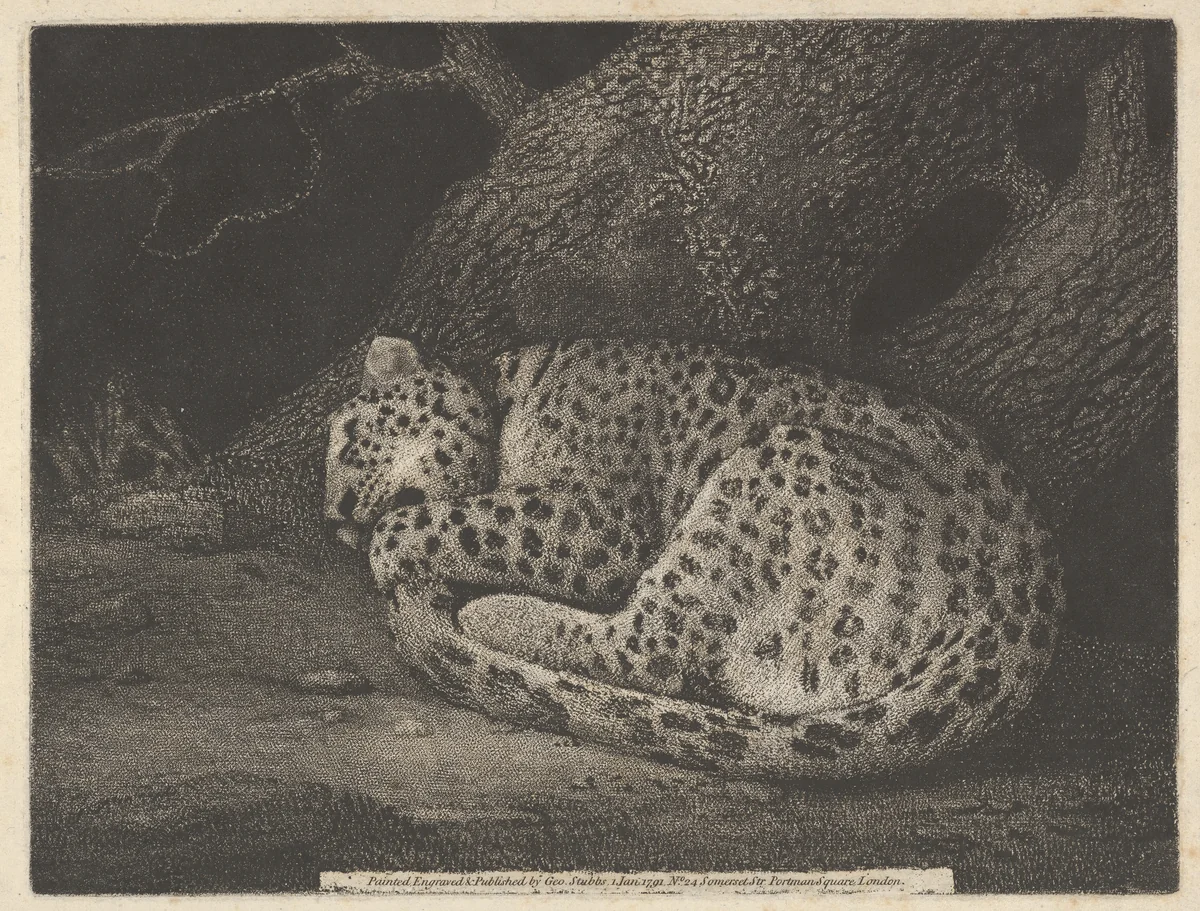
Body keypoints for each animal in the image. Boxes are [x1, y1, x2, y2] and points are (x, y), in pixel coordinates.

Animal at [325, 335, 1063, 779]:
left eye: (349, 437)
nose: (335, 521)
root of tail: (1023, 620)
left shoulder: (597, 522)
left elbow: (449, 518)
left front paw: (390, 547)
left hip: (769, 473)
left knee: (649, 648)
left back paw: (489, 613)